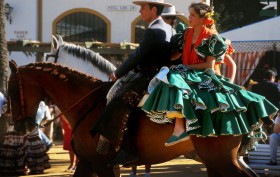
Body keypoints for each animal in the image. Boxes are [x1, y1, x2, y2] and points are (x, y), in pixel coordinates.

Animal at [8, 60, 258, 176]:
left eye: (11, 89)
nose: (19, 127)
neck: (86, 104)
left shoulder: (102, 164)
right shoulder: (88, 163)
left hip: (221, 159)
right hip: (216, 160)